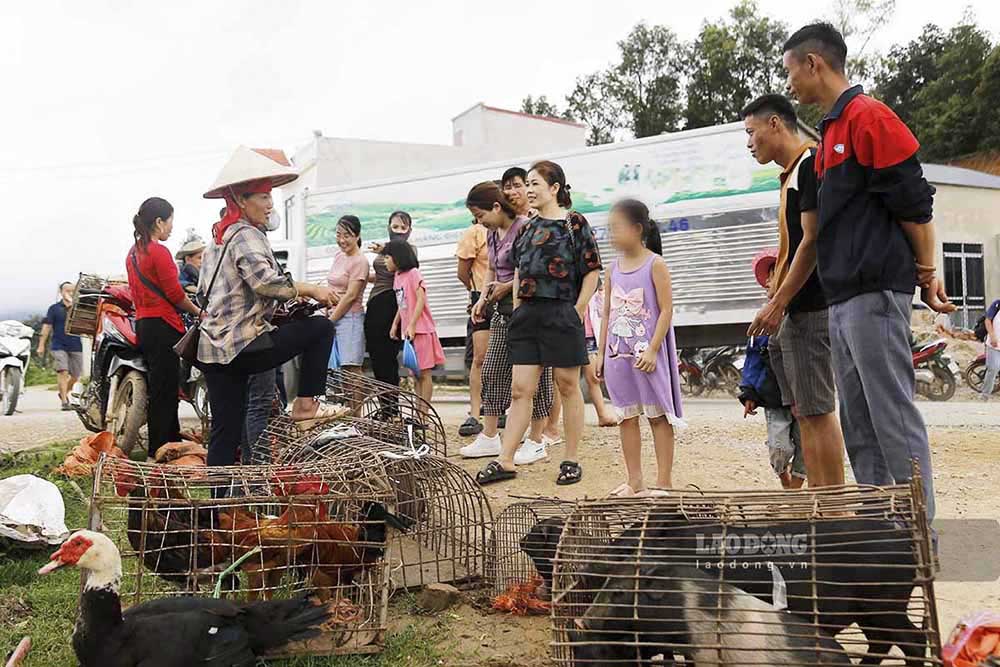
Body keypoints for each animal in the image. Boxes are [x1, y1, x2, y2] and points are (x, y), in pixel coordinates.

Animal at [544, 480, 940, 667]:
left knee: (911, 640)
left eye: (623, 547)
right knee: (883, 641)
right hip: (873, 610)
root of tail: (904, 537)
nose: (585, 569)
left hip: (884, 602)